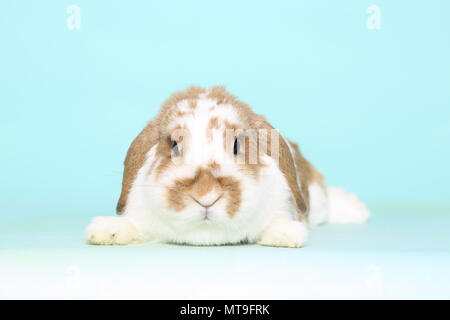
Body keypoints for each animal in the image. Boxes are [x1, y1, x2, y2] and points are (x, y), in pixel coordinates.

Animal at [85, 85, 370, 248]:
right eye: (174, 146)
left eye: (236, 145)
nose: (206, 196)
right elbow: (133, 226)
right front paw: (106, 231)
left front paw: (285, 235)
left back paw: (356, 209)